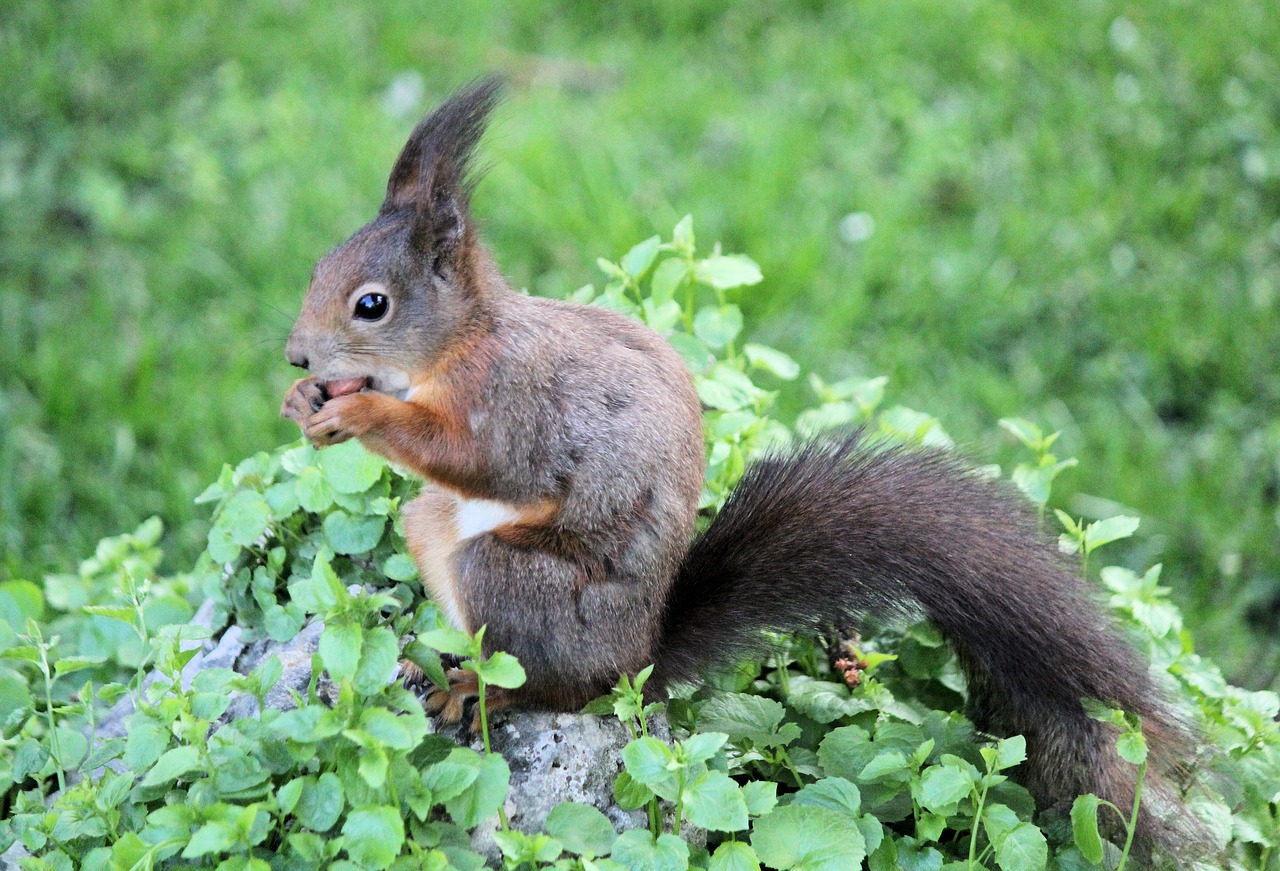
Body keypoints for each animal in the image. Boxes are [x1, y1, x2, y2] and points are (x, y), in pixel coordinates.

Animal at [280, 76, 1198, 855]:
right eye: (318, 265)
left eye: (372, 304)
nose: (295, 357)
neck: (459, 345)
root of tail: (638, 659)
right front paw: (305, 404)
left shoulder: (513, 401)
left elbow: (483, 460)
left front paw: (358, 410)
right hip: (429, 526)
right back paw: (432, 662)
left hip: (515, 582)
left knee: (555, 686)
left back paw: (484, 689)